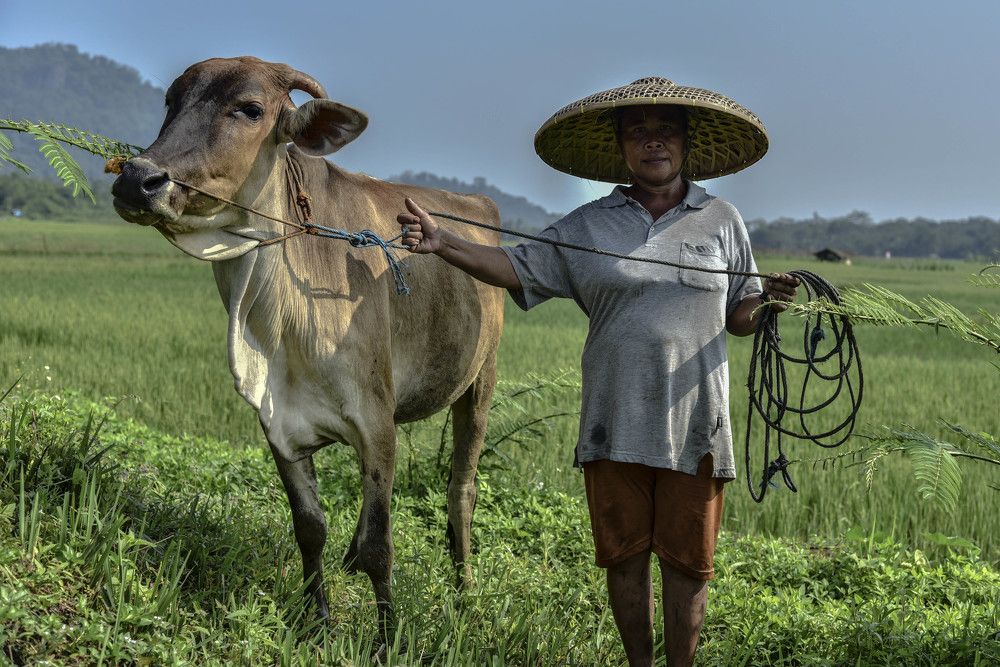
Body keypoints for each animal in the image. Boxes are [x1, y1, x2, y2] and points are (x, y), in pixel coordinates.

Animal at [110, 57, 504, 634]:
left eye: (250, 109)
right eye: (170, 101)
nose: (138, 179)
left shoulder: (377, 425)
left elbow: (381, 546)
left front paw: (388, 637)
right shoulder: (280, 426)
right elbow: (311, 528)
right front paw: (316, 619)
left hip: (480, 382)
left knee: (461, 491)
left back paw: (465, 590)